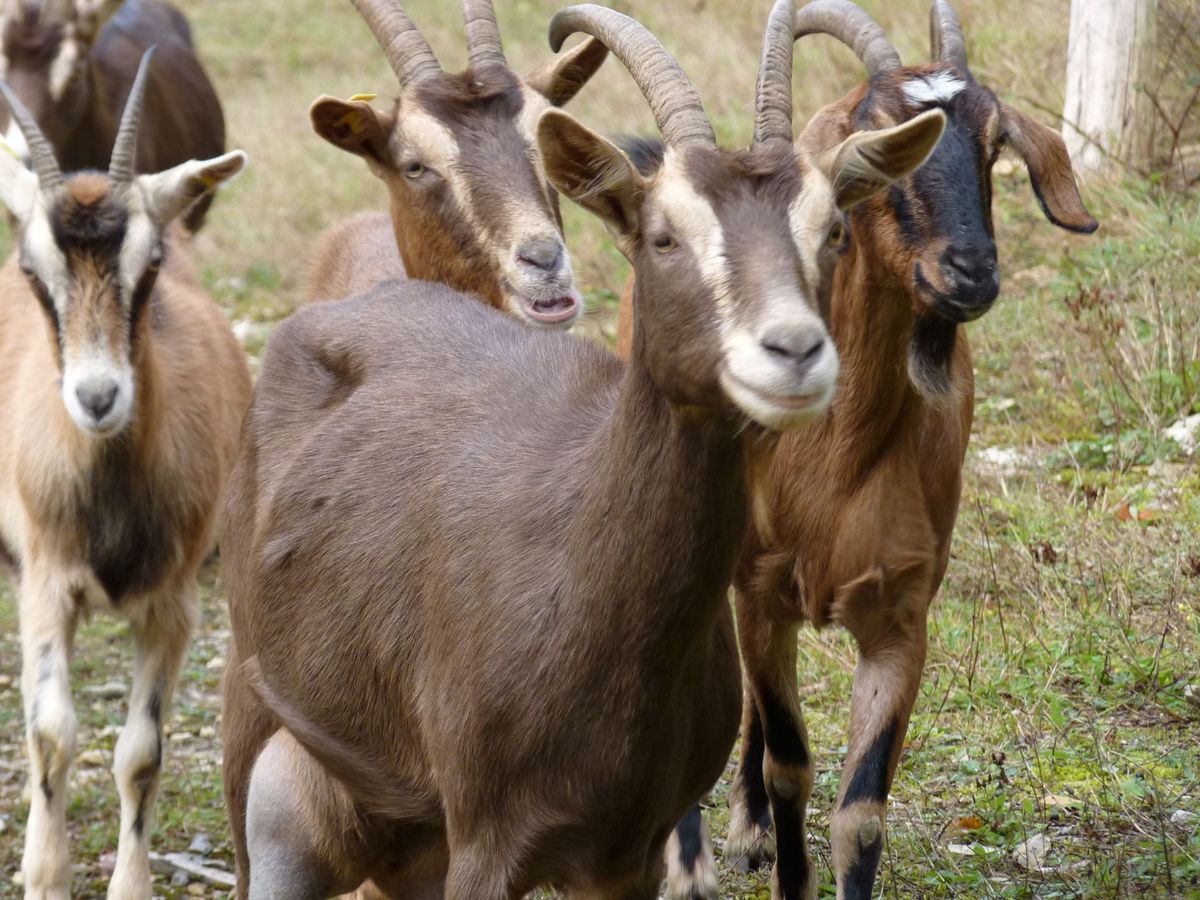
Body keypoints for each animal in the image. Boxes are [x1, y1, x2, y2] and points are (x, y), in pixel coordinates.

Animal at [0, 52, 250, 900]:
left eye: (153, 263)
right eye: (34, 270)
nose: (98, 397)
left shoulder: (172, 606)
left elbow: (141, 755)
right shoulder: (45, 584)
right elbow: (50, 733)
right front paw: (45, 876)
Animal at [643, 3, 1099, 897]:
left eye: (994, 140)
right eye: (876, 134)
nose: (970, 271)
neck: (833, 466)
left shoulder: (902, 614)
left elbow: (860, 809)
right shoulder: (759, 588)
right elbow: (791, 765)